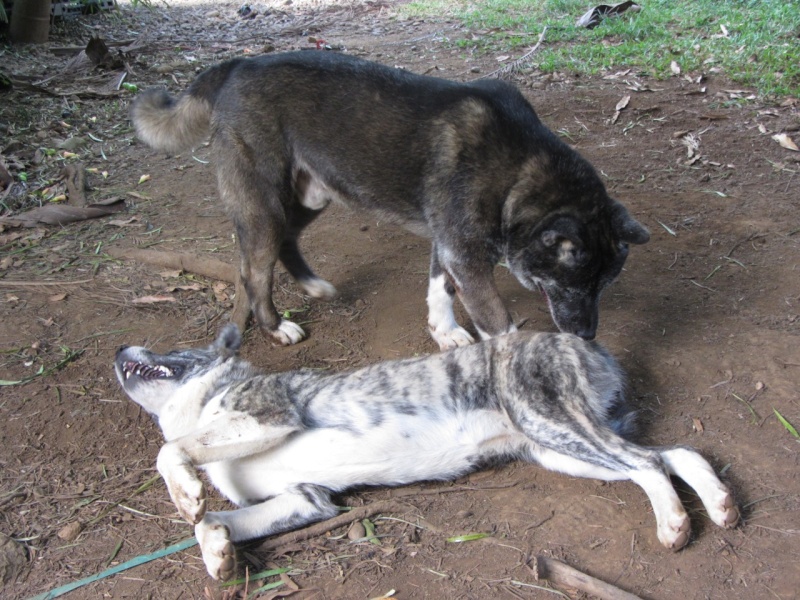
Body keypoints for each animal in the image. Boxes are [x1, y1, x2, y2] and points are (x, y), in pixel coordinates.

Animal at [112, 326, 736, 580]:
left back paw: (675, 524)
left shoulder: (268, 414)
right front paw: (219, 554)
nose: (118, 350)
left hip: (551, 422)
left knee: (650, 463)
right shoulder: (306, 500)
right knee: (677, 453)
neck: (208, 398)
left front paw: (186, 492)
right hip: (563, 449)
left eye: (172, 347)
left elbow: (171, 449)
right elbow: (214, 522)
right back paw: (721, 505)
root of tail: (578, 339)